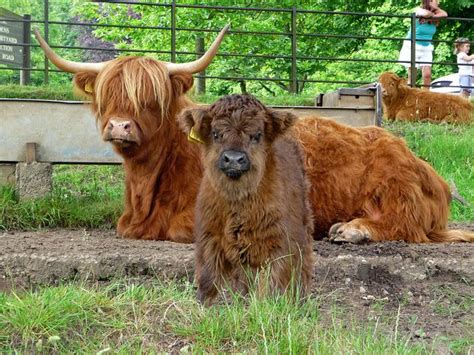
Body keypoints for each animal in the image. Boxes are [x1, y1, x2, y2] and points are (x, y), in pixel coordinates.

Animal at [180, 95, 316, 306]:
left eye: (257, 135)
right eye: (216, 133)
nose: (234, 159)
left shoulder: (281, 242)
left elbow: (276, 281)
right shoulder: (208, 237)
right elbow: (208, 278)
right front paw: (204, 304)